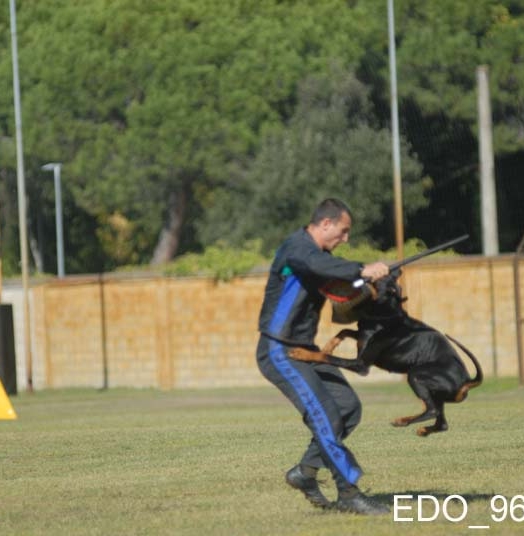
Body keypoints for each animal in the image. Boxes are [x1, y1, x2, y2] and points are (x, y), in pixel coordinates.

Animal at [290, 270, 484, 438]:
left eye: (377, 278)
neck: (385, 312)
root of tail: (467, 380)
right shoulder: (362, 335)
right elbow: (344, 331)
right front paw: (328, 346)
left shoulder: (360, 365)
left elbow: (328, 357)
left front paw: (301, 353)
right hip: (436, 392)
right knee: (442, 423)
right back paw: (424, 429)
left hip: (417, 375)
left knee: (431, 410)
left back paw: (402, 421)